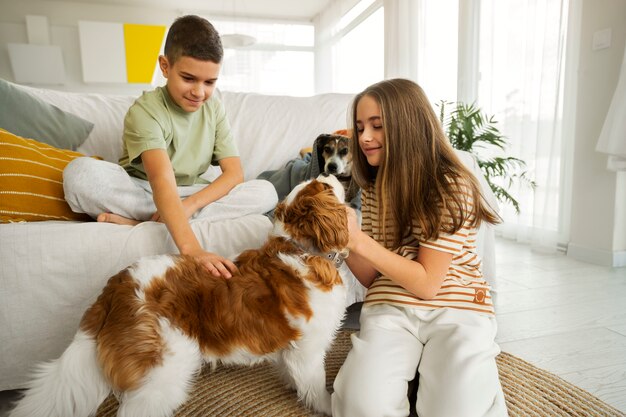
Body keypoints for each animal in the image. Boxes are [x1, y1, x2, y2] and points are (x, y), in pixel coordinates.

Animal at [9, 175, 348, 416]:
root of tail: (115, 288)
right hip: (163, 373)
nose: (329, 171)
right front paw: (329, 406)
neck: (299, 249)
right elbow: (317, 387)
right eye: (324, 187)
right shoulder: (309, 351)